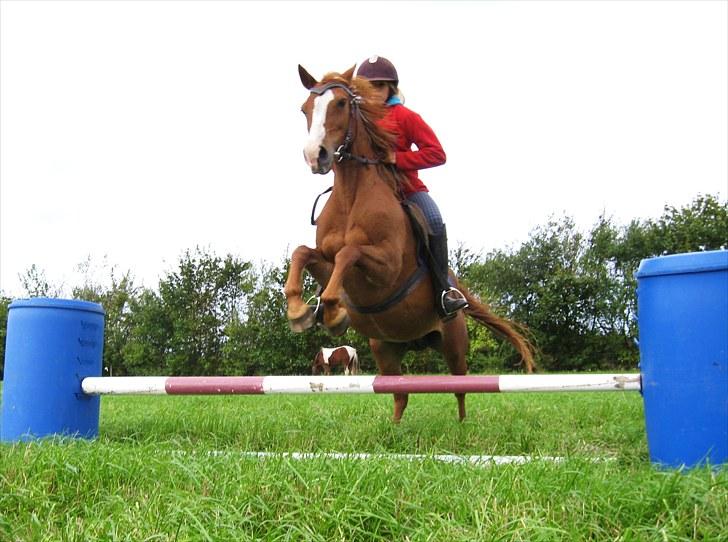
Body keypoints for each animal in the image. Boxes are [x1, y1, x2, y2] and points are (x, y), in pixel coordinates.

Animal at [284, 65, 536, 424]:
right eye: (305, 108)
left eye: (342, 104)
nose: (315, 156)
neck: (350, 196)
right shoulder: (326, 264)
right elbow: (302, 252)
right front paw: (300, 310)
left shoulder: (386, 267)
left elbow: (350, 252)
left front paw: (332, 313)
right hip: (385, 348)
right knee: (400, 393)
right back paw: (394, 430)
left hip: (453, 343)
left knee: (460, 387)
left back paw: (461, 427)